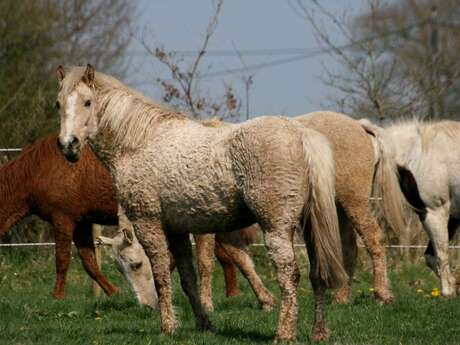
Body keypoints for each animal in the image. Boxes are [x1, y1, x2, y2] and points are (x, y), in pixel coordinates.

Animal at [55, 65, 346, 342]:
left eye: (88, 102)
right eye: (58, 104)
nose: (68, 144)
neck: (139, 142)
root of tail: (301, 134)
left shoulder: (149, 224)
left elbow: (162, 275)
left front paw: (168, 327)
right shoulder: (177, 231)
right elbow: (187, 279)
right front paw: (204, 324)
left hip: (277, 227)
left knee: (289, 275)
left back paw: (284, 333)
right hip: (309, 227)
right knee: (317, 274)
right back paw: (319, 333)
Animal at [362, 118, 460, 296]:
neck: (419, 154)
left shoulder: (435, 212)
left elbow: (441, 253)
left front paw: (448, 291)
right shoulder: (452, 215)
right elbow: (432, 257)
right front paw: (454, 285)